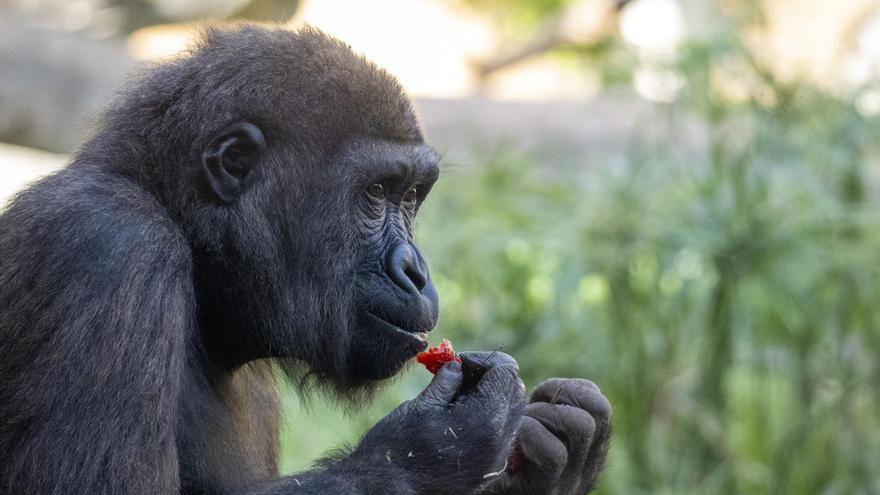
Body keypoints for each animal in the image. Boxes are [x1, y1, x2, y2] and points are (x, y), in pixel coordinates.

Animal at [0, 24, 608, 495]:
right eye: (376, 193)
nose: (416, 270)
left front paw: (554, 463)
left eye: (411, 197)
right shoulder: (107, 246)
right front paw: (435, 446)